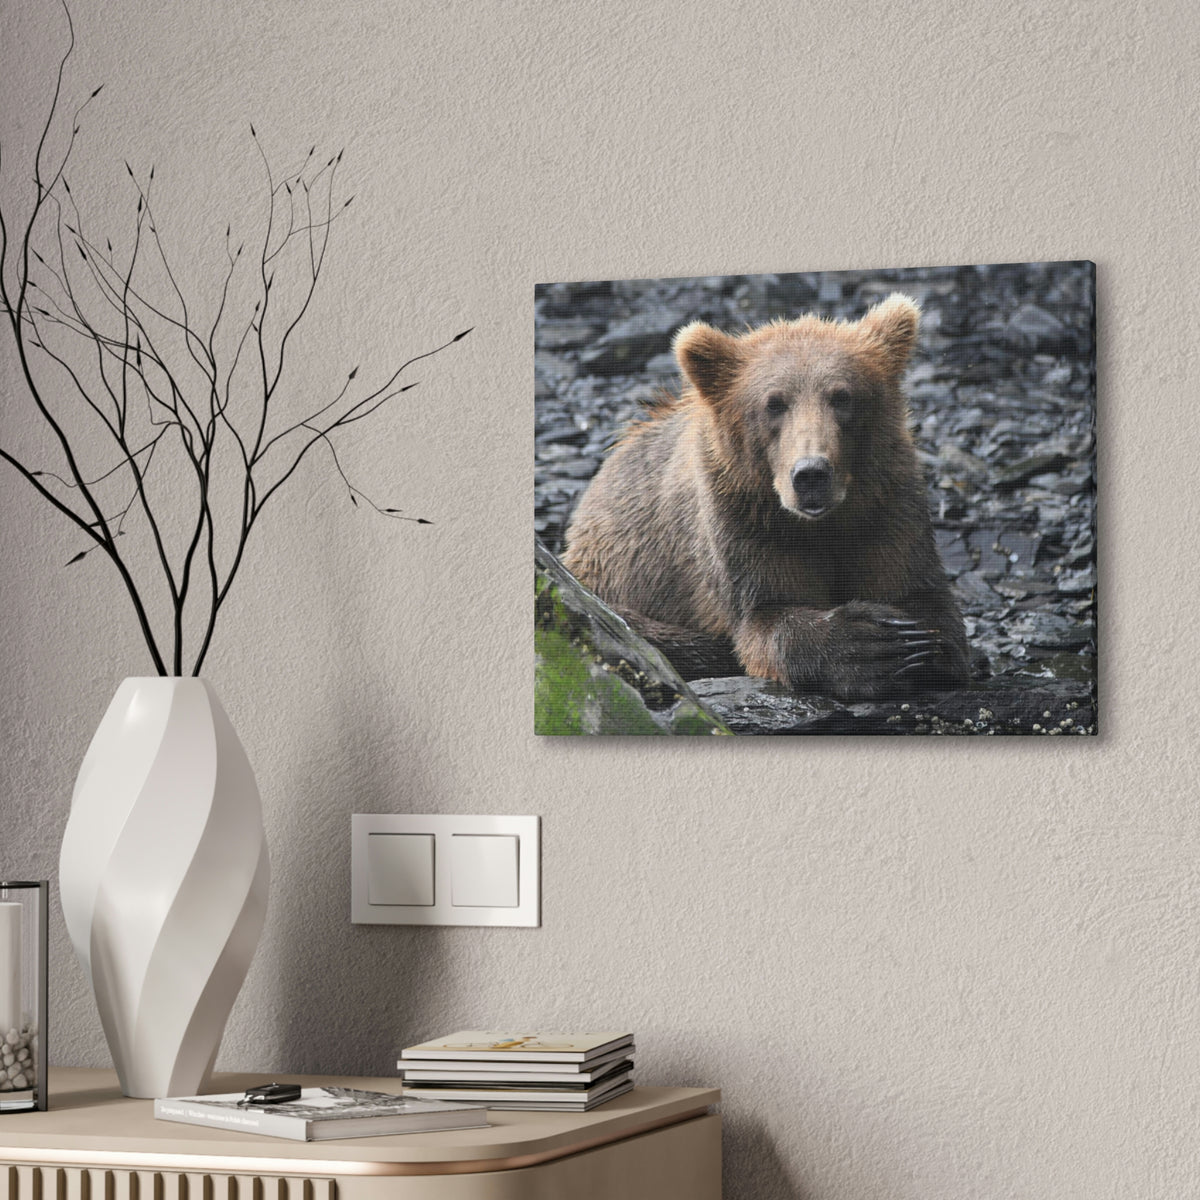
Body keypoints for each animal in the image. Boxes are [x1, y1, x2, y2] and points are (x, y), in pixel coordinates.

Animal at [561, 294, 969, 702]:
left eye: (843, 396)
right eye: (774, 403)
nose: (811, 474)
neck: (821, 525)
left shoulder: (887, 506)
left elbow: (921, 596)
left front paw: (915, 644)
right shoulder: (744, 521)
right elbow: (767, 616)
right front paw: (871, 645)